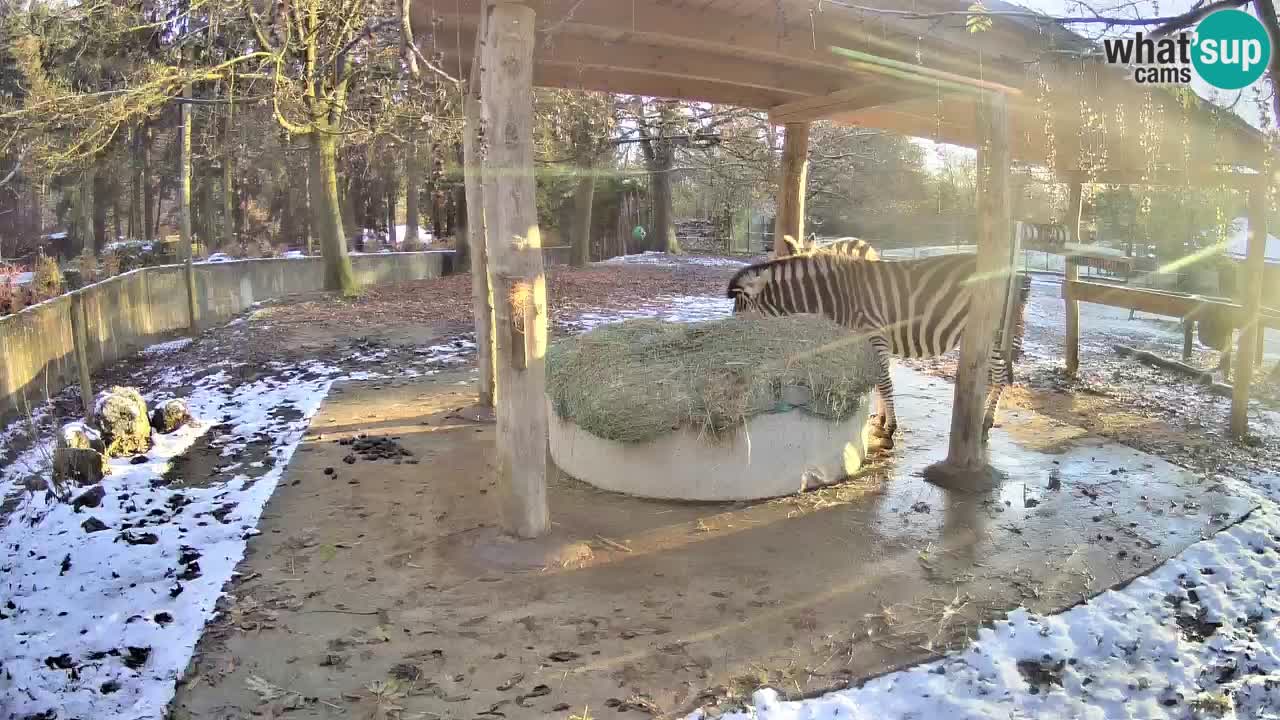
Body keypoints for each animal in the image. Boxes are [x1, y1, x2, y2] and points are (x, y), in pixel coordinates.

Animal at [732, 249, 1029, 445]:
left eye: (741, 316)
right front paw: (880, 422)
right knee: (990, 376)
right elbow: (878, 381)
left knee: (1000, 377)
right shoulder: (867, 340)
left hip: (996, 332)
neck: (837, 296)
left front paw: (889, 430)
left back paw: (986, 423)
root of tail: (1016, 271)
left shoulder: (875, 334)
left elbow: (884, 382)